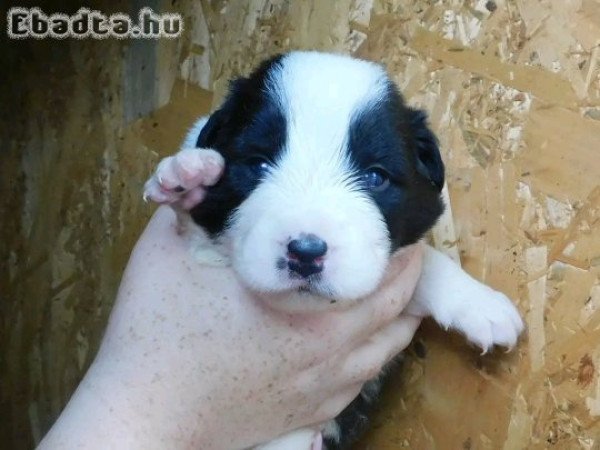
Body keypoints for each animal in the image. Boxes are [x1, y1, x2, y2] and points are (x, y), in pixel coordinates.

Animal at [143, 52, 524, 450]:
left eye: (375, 177)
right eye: (258, 164)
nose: (306, 252)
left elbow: (421, 264)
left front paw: (481, 304)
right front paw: (187, 176)